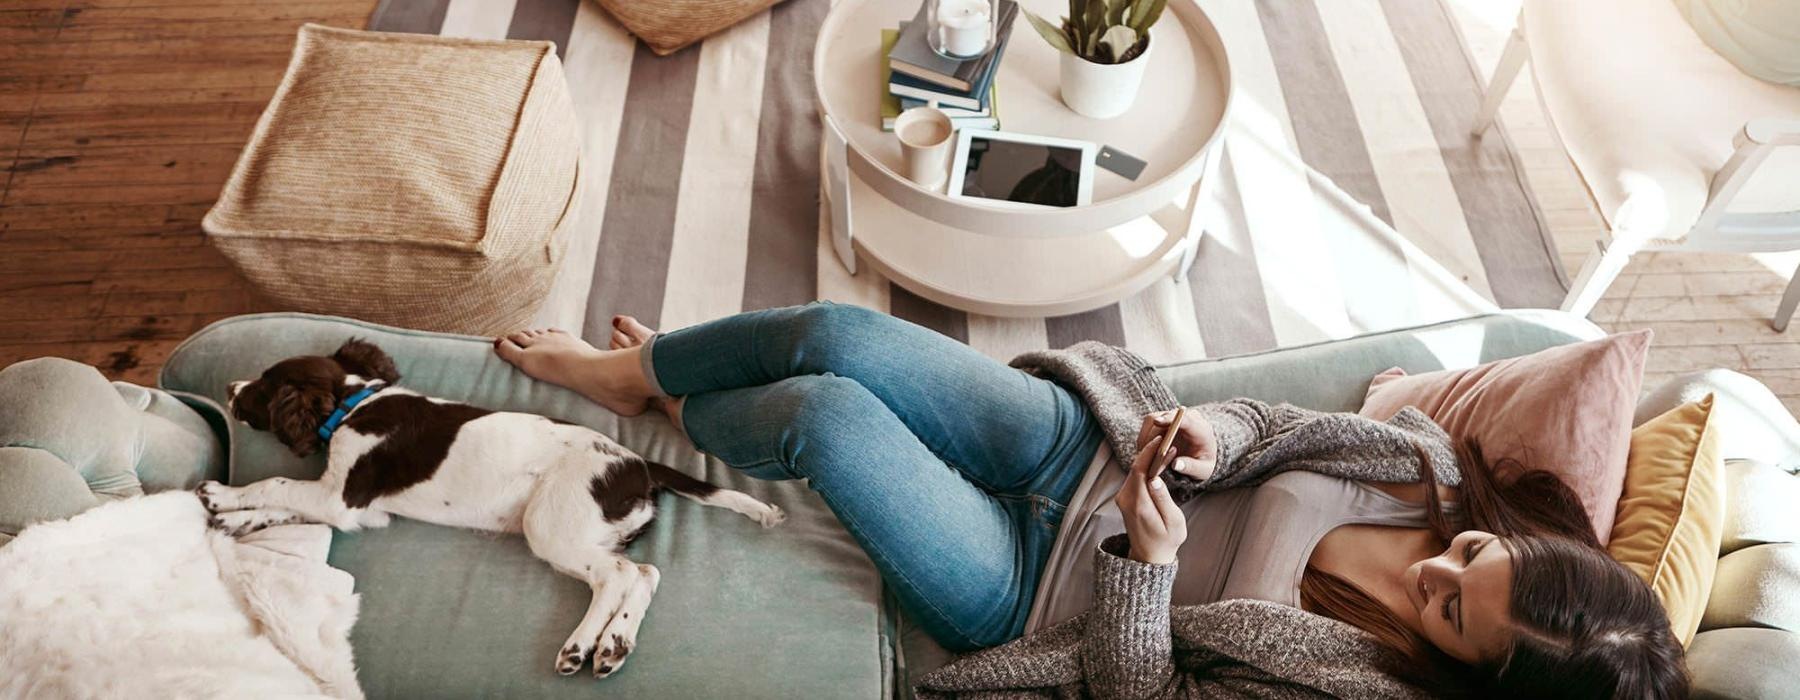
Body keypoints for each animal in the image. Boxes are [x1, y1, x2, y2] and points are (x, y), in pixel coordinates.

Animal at [198, 336, 781, 676]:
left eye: (263, 388)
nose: (228, 385)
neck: (353, 402)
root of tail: (638, 463)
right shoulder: (356, 507)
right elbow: (286, 504)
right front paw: (236, 518)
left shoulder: (343, 497)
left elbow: (278, 482)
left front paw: (225, 495)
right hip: (591, 530)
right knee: (644, 573)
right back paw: (614, 644)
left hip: (551, 524)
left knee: (616, 576)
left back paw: (581, 646)